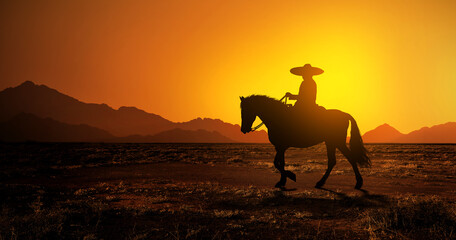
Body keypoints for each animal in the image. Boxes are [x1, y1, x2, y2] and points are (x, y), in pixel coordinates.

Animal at [239, 95, 370, 189]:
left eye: (246, 110)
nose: (243, 129)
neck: (277, 117)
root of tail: (345, 114)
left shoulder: (281, 146)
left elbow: (276, 163)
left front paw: (291, 176)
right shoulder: (280, 147)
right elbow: (281, 163)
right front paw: (282, 181)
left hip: (337, 142)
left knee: (349, 158)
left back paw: (358, 183)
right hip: (331, 142)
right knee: (334, 161)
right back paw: (321, 182)